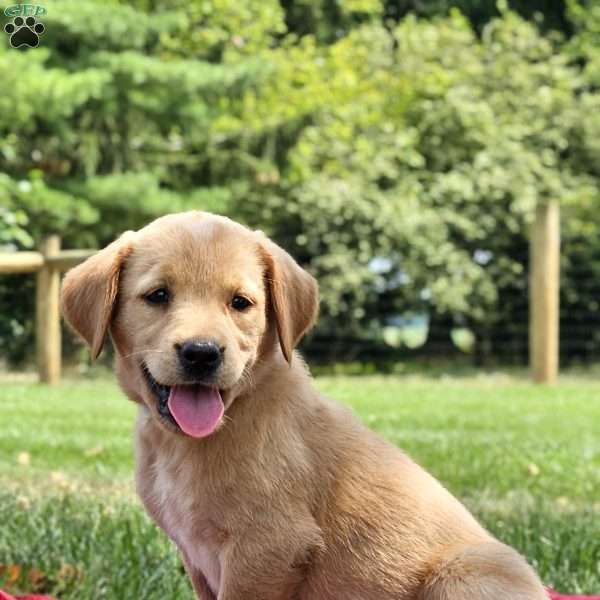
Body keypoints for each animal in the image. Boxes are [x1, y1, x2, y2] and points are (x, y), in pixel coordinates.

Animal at [59, 212, 544, 600]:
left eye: (240, 303)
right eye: (158, 295)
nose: (202, 353)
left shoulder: (268, 547)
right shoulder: (198, 557)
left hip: (467, 574)